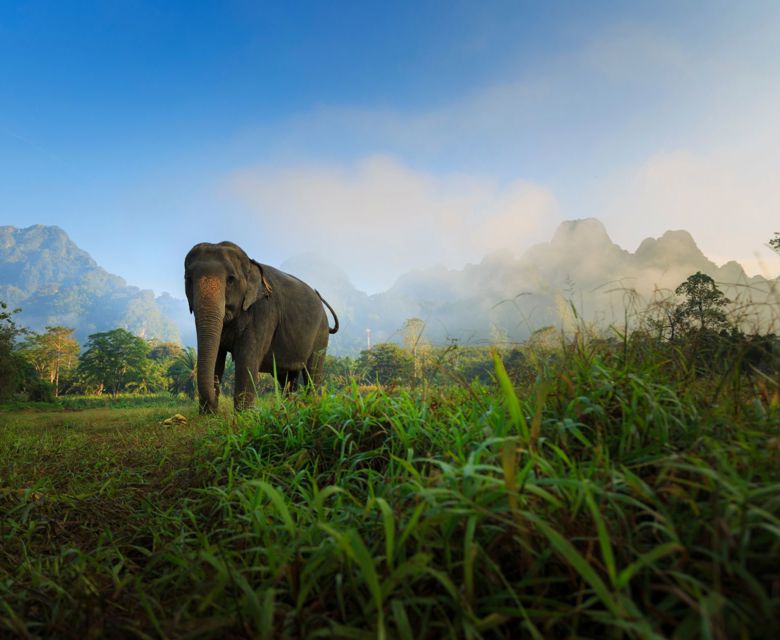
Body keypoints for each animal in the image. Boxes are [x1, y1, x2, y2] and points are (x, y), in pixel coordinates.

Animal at [184, 241, 339, 412]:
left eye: (231, 279)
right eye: (188, 279)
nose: (215, 408)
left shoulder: (264, 313)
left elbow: (246, 358)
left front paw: (244, 416)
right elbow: (217, 356)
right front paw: (208, 415)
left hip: (321, 335)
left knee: (312, 372)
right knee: (287, 378)